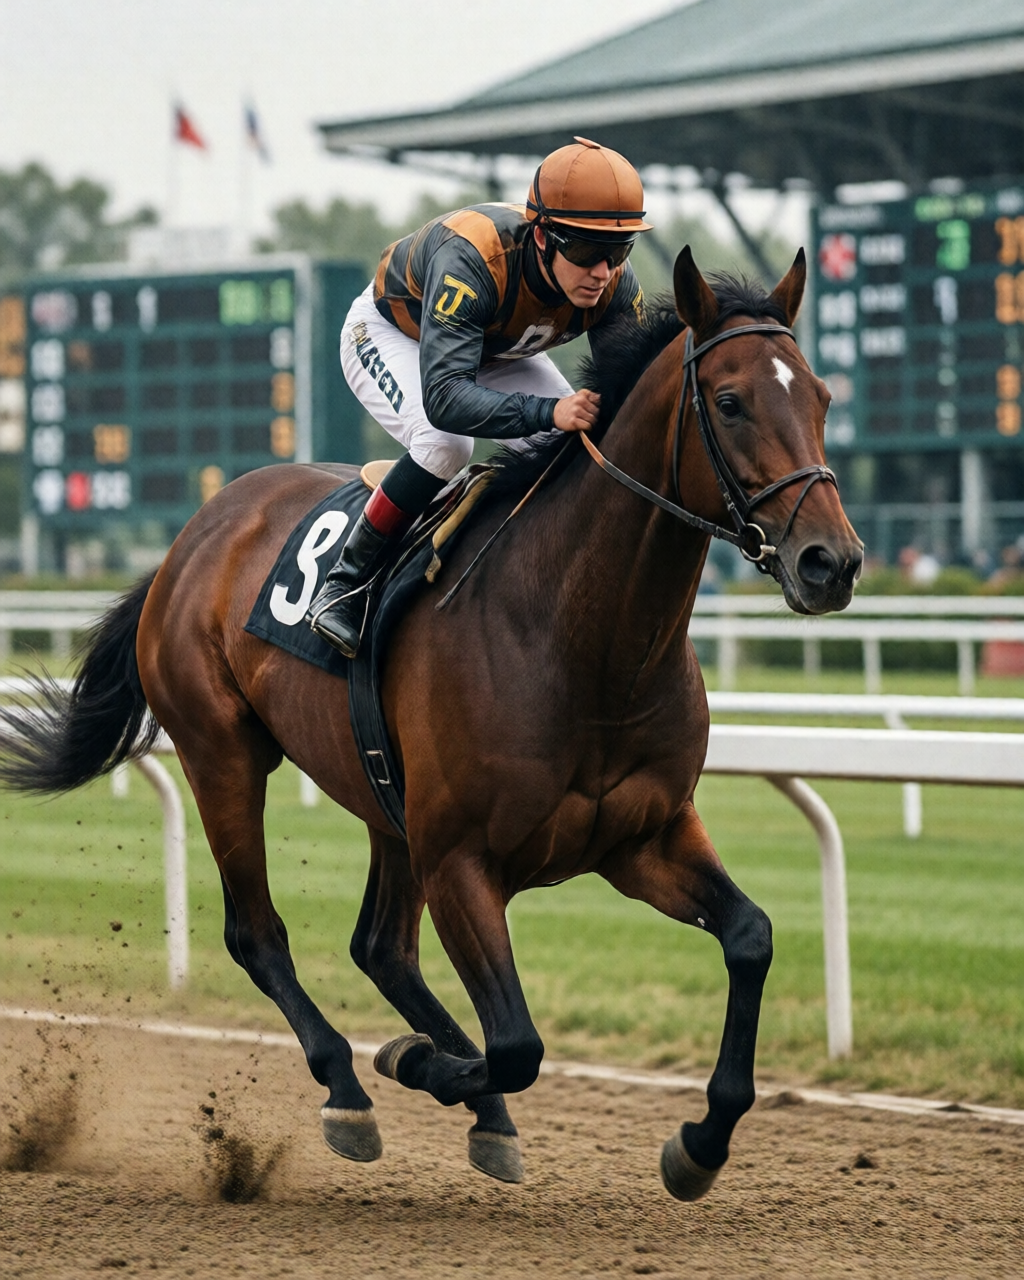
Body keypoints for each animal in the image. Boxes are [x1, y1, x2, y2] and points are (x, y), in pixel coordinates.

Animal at [0, 247, 862, 1200]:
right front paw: (415, 1064)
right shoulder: (462, 859)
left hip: (387, 802)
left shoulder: (645, 837)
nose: (832, 563)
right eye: (731, 401)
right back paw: (349, 1087)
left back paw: (475, 1108)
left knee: (381, 948)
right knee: (259, 933)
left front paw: (699, 1143)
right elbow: (517, 1042)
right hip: (220, 752)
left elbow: (750, 937)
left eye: (821, 396)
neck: (584, 642)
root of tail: (194, 534)